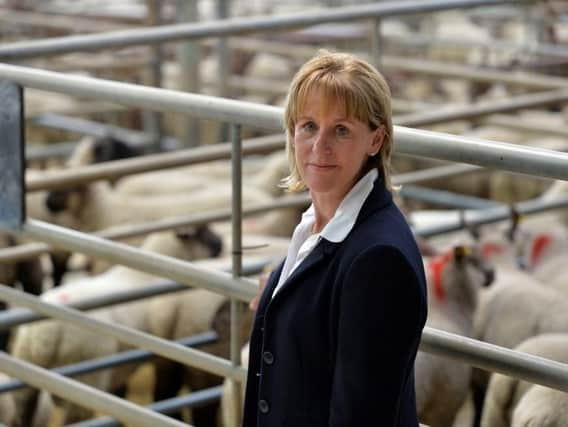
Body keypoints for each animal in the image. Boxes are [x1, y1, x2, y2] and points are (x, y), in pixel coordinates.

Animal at [11, 226, 223, 426]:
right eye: (201, 232)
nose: (221, 245)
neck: (143, 276)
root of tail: (46, 332)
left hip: (25, 372)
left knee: (22, 412)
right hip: (86, 376)